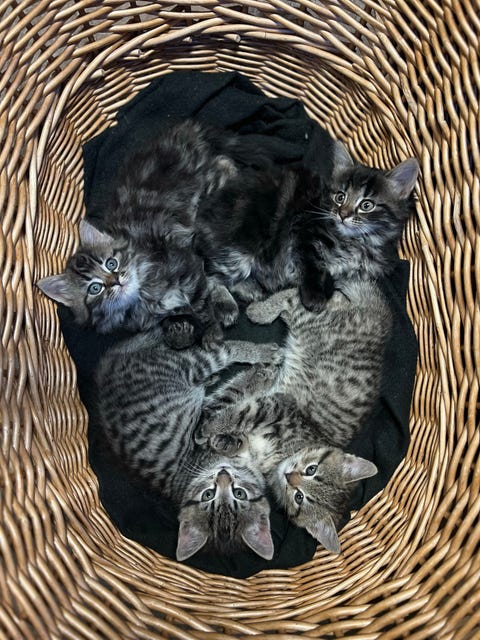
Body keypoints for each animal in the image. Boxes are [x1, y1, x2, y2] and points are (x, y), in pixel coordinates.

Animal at [95, 328, 280, 561]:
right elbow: (230, 397)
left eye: (240, 494)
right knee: (219, 350)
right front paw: (259, 378)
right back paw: (261, 354)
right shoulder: (202, 426)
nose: (223, 475)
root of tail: (105, 369)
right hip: (190, 364)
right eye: (208, 495)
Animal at [195, 145, 419, 315]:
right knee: (209, 274)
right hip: (241, 248)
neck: (358, 241)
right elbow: (313, 264)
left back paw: (250, 289)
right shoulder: (302, 230)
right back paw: (226, 304)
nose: (343, 214)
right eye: (340, 197)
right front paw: (315, 297)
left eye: (366, 205)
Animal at [196, 280, 392, 553]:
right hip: (313, 323)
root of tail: (381, 322)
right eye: (312, 469)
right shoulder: (279, 406)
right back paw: (260, 311)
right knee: (295, 296)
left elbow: (235, 406)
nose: (290, 475)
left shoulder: (272, 408)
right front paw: (212, 425)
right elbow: (236, 406)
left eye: (299, 498)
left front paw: (219, 436)